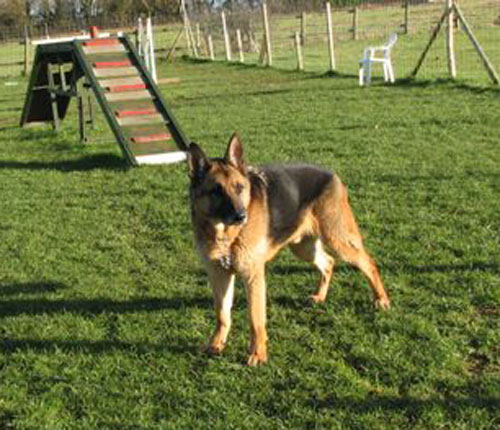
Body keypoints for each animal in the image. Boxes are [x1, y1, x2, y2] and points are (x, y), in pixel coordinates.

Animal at [188, 134, 390, 366]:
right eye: (216, 191)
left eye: (239, 187)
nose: (241, 216)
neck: (224, 234)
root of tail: (331, 174)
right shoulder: (218, 275)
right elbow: (222, 314)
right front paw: (216, 344)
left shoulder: (253, 276)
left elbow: (255, 319)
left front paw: (258, 354)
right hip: (303, 248)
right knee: (328, 263)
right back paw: (320, 297)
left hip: (338, 241)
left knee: (368, 263)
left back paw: (381, 299)